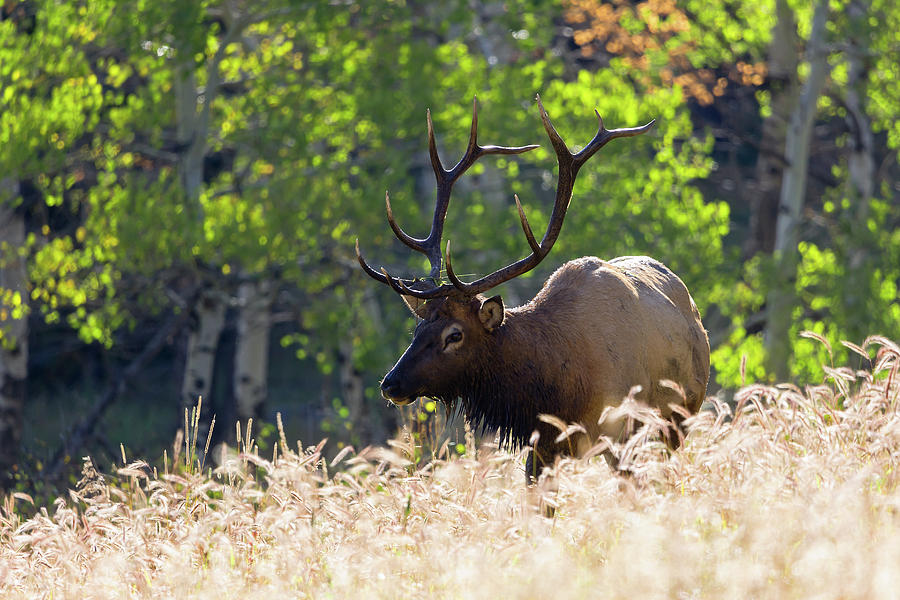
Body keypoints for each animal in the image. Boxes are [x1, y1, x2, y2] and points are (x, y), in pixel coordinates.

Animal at [356, 96, 708, 480]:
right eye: (417, 328)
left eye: (455, 334)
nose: (390, 384)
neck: (557, 388)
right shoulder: (541, 448)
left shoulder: (621, 430)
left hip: (679, 418)